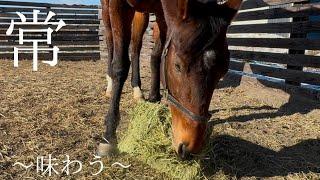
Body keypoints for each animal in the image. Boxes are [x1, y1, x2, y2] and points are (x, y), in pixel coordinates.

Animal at [99, 0, 241, 159]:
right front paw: (109, 137)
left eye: (223, 71)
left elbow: (157, 55)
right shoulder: (117, 4)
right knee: (110, 41)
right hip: (107, 9)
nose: (190, 147)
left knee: (136, 46)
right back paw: (110, 84)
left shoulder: (163, 13)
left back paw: (137, 90)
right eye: (177, 66)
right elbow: (120, 65)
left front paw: (154, 100)